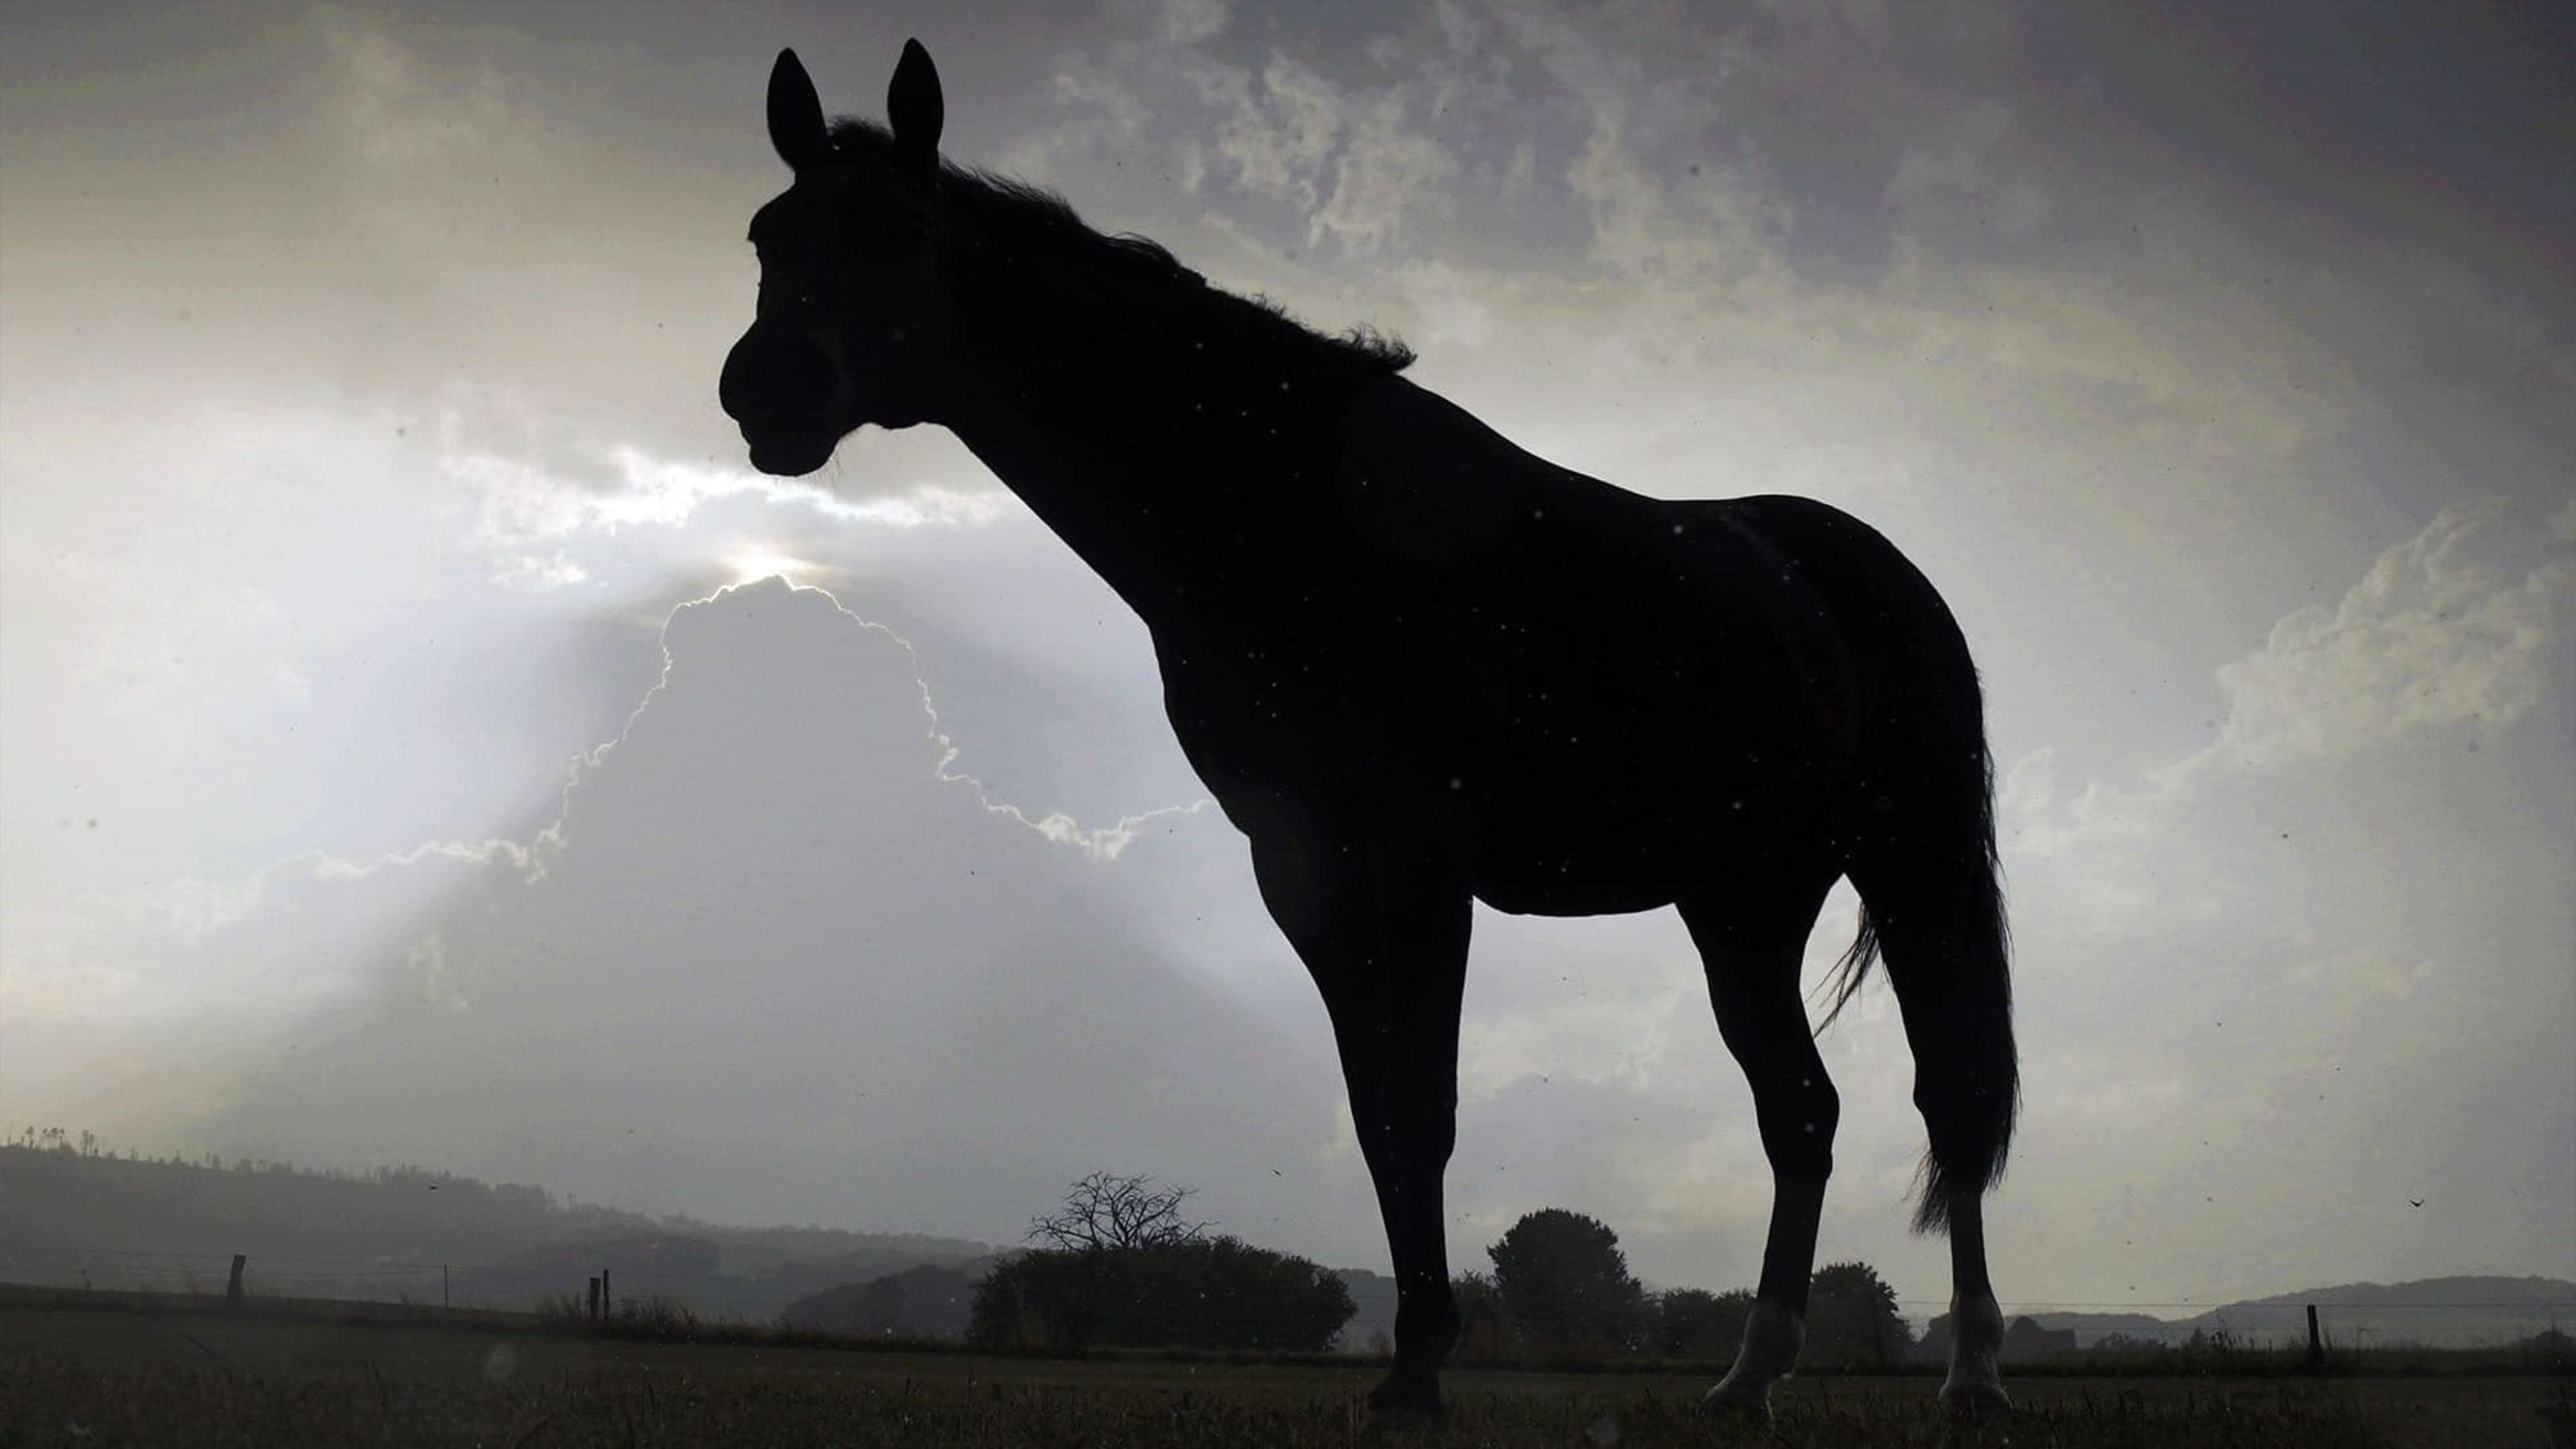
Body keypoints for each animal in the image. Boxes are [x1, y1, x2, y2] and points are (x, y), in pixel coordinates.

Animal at [716, 39, 2019, 1413]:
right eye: (767, 233)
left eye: (900, 234)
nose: (765, 393)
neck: (1300, 517)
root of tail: (1872, 571)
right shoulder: (1307, 867)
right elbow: (1383, 1115)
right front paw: (1409, 1367)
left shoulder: (1419, 858)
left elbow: (1427, 1106)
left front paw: (1425, 1361)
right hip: (1743, 899)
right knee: (1801, 1113)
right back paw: (1749, 1376)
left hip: (1911, 870)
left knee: (1947, 1099)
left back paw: (1974, 1373)